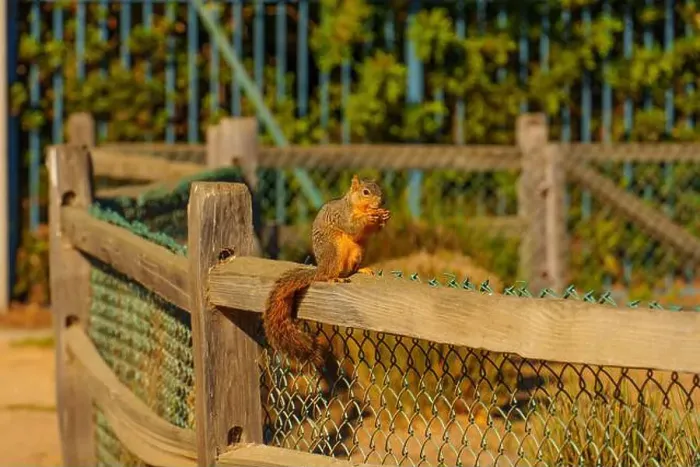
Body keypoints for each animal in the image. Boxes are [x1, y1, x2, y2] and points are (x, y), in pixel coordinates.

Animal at [263, 174, 390, 372]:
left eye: (379, 189)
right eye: (366, 192)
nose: (381, 201)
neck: (355, 205)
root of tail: (321, 267)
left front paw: (383, 216)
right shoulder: (342, 217)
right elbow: (353, 226)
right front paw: (370, 216)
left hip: (359, 251)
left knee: (351, 269)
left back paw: (361, 269)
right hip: (334, 251)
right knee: (327, 275)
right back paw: (334, 278)